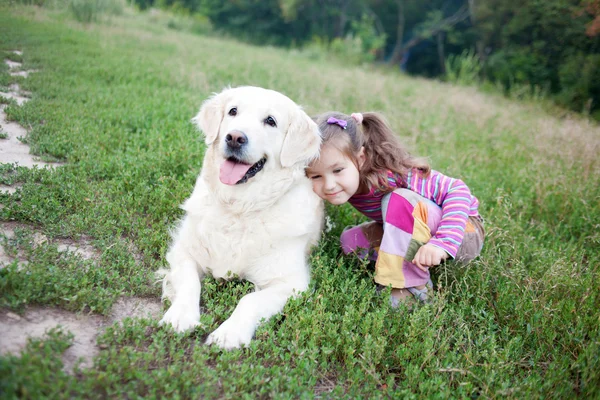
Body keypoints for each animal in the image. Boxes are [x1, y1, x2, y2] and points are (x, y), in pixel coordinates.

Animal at [157, 86, 322, 348]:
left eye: (271, 121)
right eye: (233, 111)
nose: (234, 138)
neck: (238, 208)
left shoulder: (291, 283)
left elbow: (249, 301)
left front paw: (229, 333)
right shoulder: (183, 251)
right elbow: (191, 281)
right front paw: (181, 316)